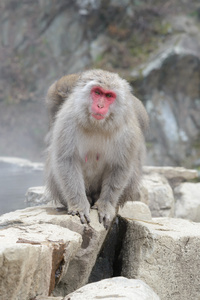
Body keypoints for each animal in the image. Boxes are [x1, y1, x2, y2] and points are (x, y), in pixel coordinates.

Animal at [45, 69, 148, 229]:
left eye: (109, 96)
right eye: (98, 92)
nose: (100, 106)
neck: (97, 125)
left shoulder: (128, 130)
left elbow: (120, 166)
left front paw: (105, 206)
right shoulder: (67, 120)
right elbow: (67, 160)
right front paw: (79, 206)